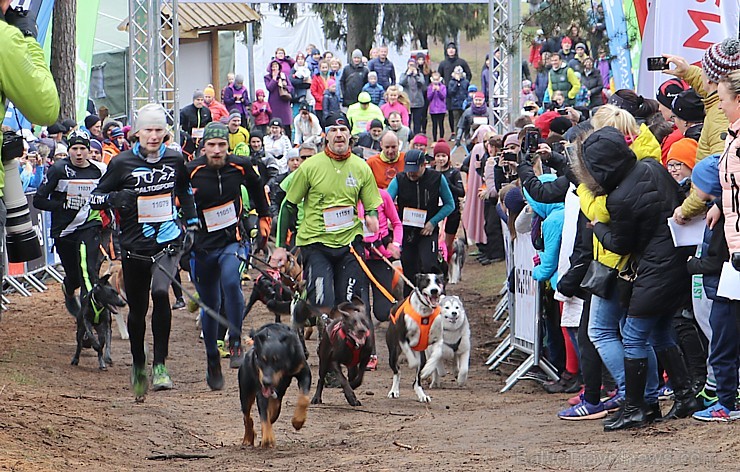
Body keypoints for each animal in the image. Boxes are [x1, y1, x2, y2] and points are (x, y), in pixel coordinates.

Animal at [388, 272, 446, 402]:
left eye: (438, 281)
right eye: (426, 281)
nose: (434, 290)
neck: (424, 312)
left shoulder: (438, 340)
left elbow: (437, 354)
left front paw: (428, 369)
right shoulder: (402, 337)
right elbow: (410, 354)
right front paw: (413, 362)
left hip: (421, 354)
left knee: (416, 382)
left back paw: (422, 395)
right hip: (393, 353)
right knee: (397, 371)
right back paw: (394, 391)